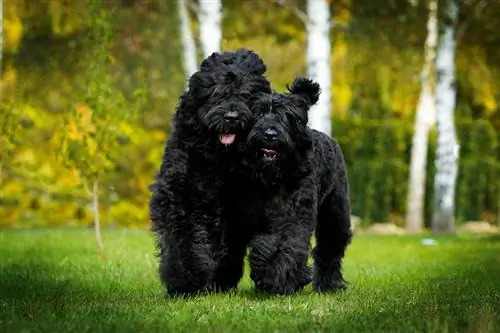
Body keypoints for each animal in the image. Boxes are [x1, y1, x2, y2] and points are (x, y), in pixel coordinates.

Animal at [149, 48, 270, 294]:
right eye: (217, 94)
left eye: (246, 95)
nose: (231, 117)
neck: (221, 159)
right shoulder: (183, 195)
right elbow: (182, 237)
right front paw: (184, 280)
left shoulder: (242, 209)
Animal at [237, 76, 352, 294]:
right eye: (259, 113)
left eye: (285, 116)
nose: (270, 134)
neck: (273, 178)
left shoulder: (295, 214)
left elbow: (286, 242)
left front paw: (276, 274)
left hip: (335, 213)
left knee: (330, 247)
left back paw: (330, 284)